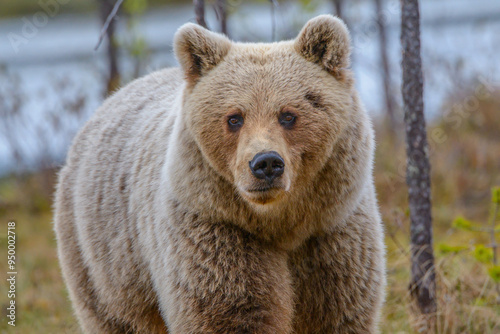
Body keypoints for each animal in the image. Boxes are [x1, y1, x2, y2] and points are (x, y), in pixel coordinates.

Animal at [53, 14, 386, 332]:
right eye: (234, 118)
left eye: (288, 115)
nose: (266, 163)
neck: (280, 225)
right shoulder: (215, 231)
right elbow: (230, 312)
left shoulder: (332, 234)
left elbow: (337, 312)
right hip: (104, 264)